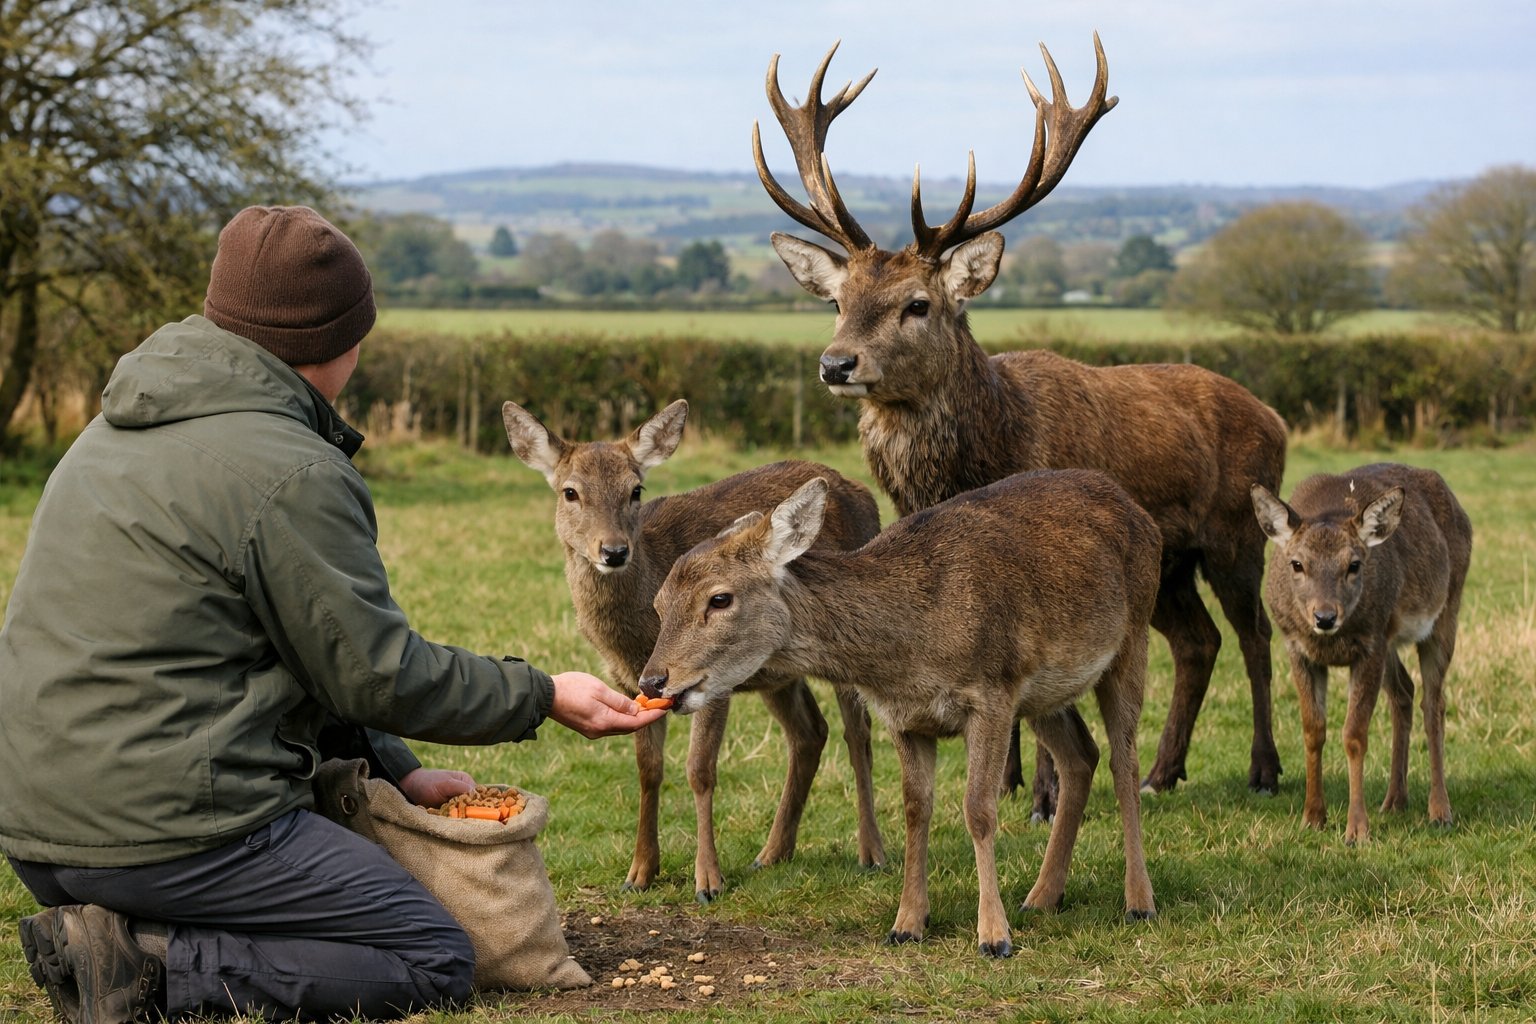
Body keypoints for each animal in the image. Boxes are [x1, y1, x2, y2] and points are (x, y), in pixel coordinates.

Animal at [501, 398, 886, 901]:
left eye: (635, 490)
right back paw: (771, 853)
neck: (635, 639)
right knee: (809, 732)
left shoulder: (711, 679)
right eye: (570, 492)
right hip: (773, 668)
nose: (614, 551)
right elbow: (648, 769)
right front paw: (640, 872)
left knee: (857, 734)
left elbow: (699, 770)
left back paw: (871, 852)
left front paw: (709, 880)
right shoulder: (632, 682)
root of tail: (865, 494)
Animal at [639, 470, 1161, 957]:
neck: (910, 649)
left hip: (1132, 635)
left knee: (1125, 761)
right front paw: (908, 923)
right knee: (1081, 756)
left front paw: (993, 936)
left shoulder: (992, 692)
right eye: (658, 603)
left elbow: (979, 809)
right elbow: (916, 808)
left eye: (720, 598)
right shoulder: (905, 718)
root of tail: (1141, 514)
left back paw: (1139, 902)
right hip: (1045, 692)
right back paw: (1042, 897)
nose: (652, 682)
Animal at [753, 35, 1289, 817]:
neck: (988, 453)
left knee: (1255, 636)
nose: (836, 363)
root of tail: (1274, 415)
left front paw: (1043, 796)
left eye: (917, 303)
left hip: (1237, 530)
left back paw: (1264, 768)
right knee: (1198, 642)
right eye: (838, 301)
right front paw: (1006, 783)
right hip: (1169, 562)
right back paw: (1162, 771)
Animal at [1250, 464, 1472, 845]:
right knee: (1404, 691)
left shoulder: (1369, 644)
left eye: (1354, 564)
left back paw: (1440, 811)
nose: (1325, 617)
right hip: (1390, 638)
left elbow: (1354, 735)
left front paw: (1357, 830)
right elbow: (1313, 730)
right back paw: (1394, 800)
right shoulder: (1296, 646)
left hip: (1445, 613)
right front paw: (1312, 817)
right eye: (1297, 563)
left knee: (1434, 704)